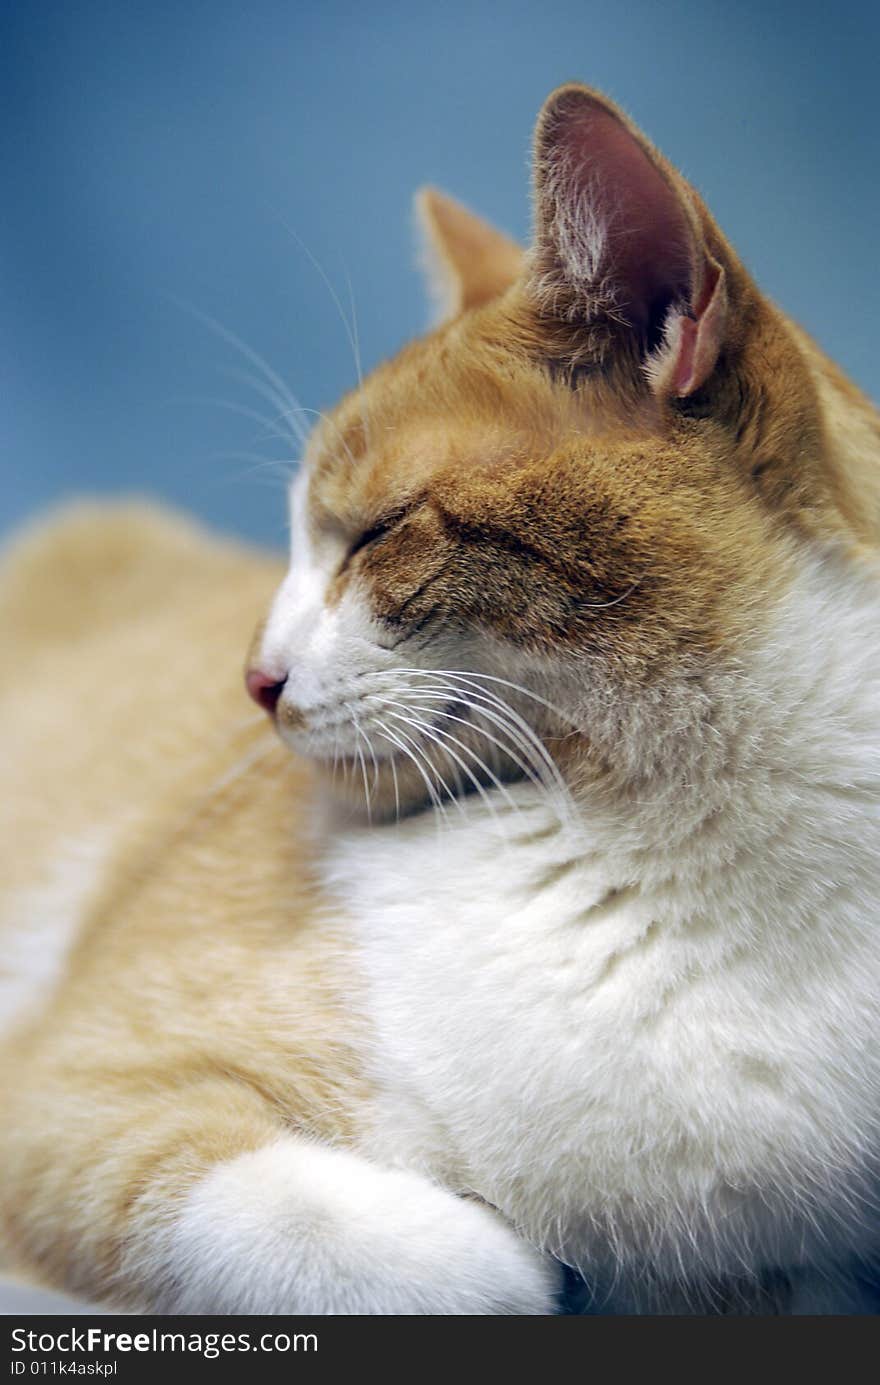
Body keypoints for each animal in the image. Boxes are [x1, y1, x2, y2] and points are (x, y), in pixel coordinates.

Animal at [1, 81, 880, 1312]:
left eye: (375, 533)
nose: (254, 678)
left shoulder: (807, 1264)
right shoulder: (72, 1089)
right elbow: (388, 1243)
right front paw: (513, 1264)